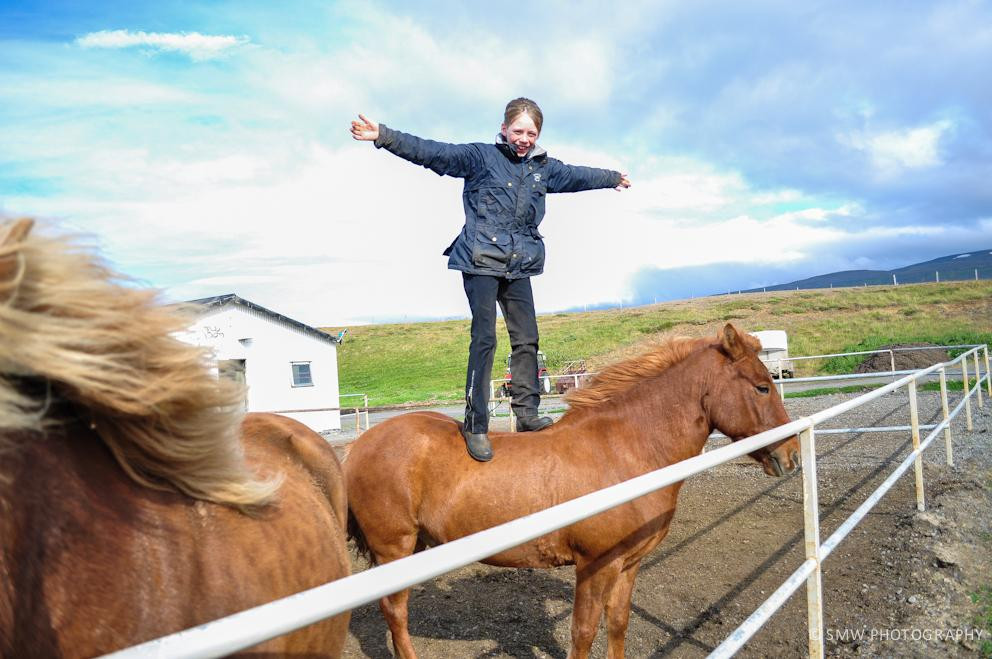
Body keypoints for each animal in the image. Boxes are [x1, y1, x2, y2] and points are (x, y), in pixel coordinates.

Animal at [345, 323, 800, 658]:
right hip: (394, 547)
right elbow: (582, 632)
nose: (792, 454)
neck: (626, 448)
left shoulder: (628, 565)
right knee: (395, 612)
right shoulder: (595, 566)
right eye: (761, 386)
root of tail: (362, 443)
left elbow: (617, 625)